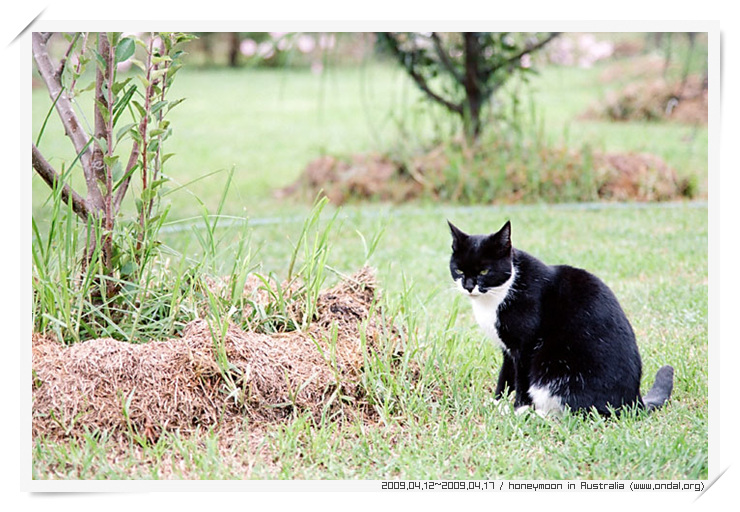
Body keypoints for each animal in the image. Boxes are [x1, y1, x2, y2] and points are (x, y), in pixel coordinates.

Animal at [448, 220, 672, 416]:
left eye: (484, 271)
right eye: (458, 269)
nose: (468, 285)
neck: (496, 297)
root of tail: (635, 401)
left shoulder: (525, 345)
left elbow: (521, 380)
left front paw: (519, 409)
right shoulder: (507, 349)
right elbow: (506, 376)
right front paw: (497, 403)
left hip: (557, 368)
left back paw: (539, 415)